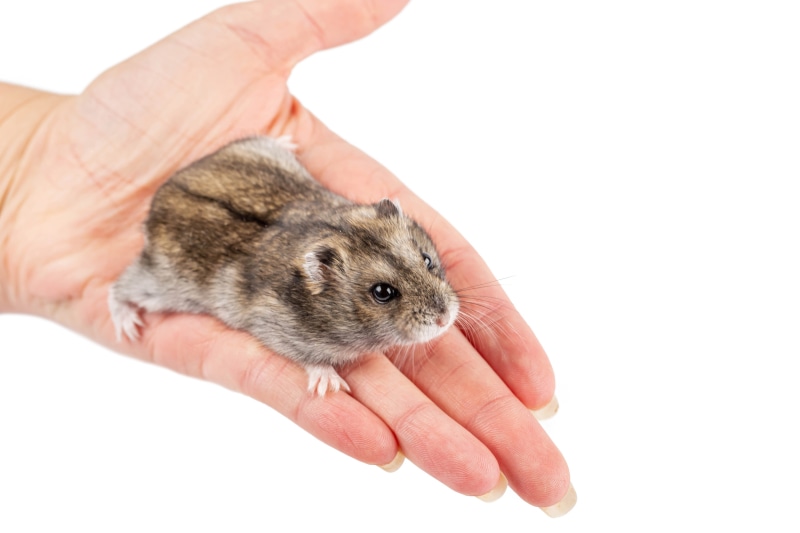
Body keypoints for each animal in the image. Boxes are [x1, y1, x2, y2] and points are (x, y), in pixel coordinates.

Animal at [108, 136, 459, 395]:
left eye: (427, 260)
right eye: (382, 292)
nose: (445, 318)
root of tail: (162, 192)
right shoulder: (277, 327)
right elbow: (309, 359)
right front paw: (329, 386)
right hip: (162, 283)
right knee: (119, 288)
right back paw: (128, 327)